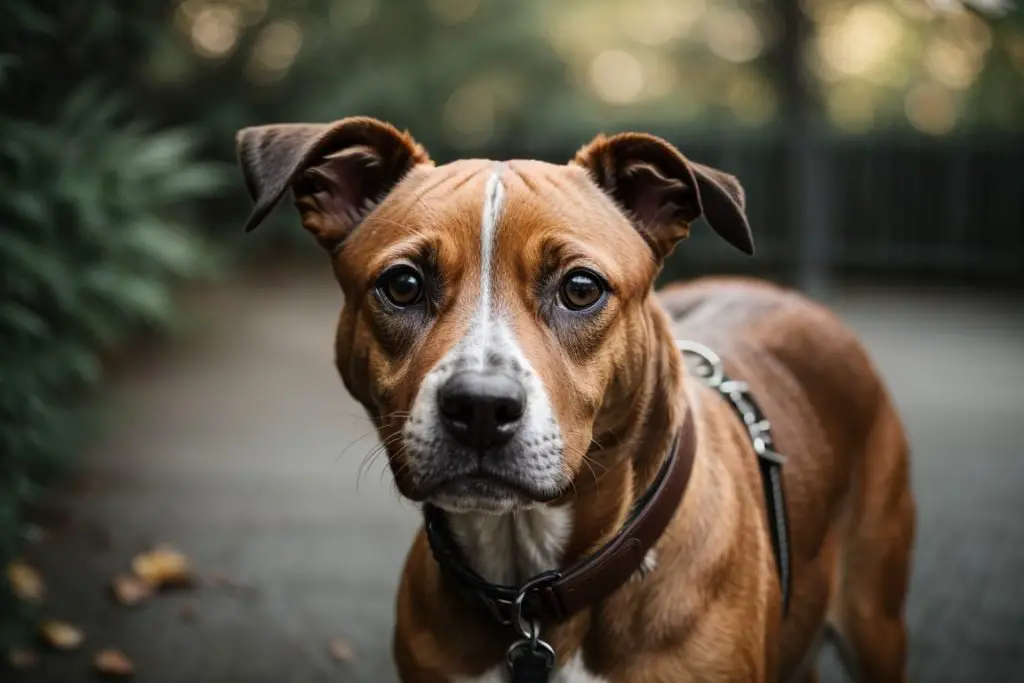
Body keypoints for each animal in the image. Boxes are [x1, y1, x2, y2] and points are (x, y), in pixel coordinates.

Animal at [235, 118, 917, 683]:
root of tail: (786, 296)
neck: (530, 590)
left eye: (581, 287)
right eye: (402, 284)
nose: (480, 408)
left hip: (876, 620)